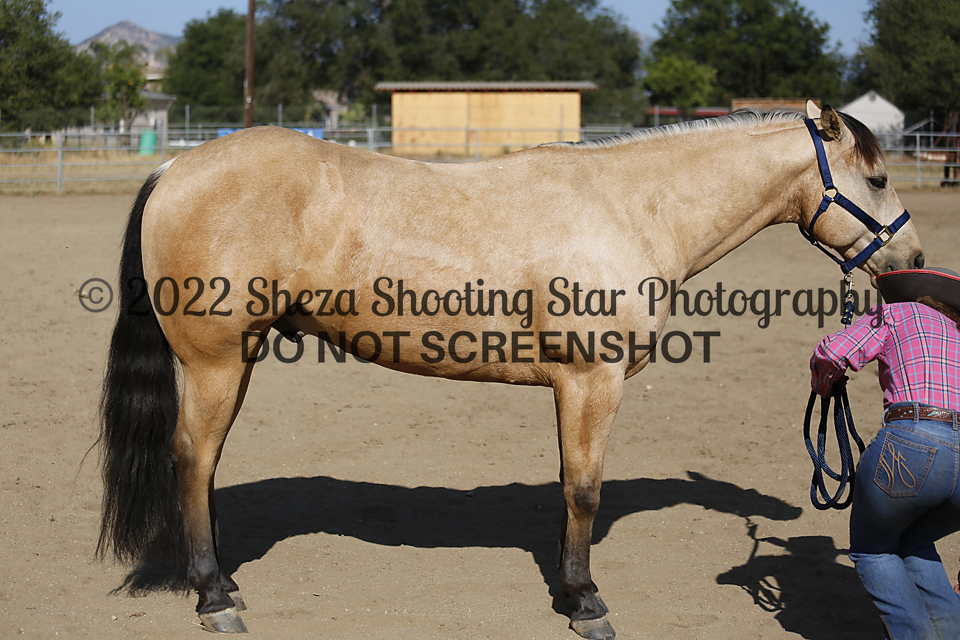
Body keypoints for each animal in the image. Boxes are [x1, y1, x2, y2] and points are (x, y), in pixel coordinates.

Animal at [97, 102, 924, 639]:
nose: (911, 261)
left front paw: (569, 587)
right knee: (192, 460)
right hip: (214, 361)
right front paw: (586, 603)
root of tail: (176, 167)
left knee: (204, 465)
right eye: (879, 178)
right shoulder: (592, 380)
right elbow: (585, 490)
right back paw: (214, 597)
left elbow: (568, 489)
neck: (629, 208)